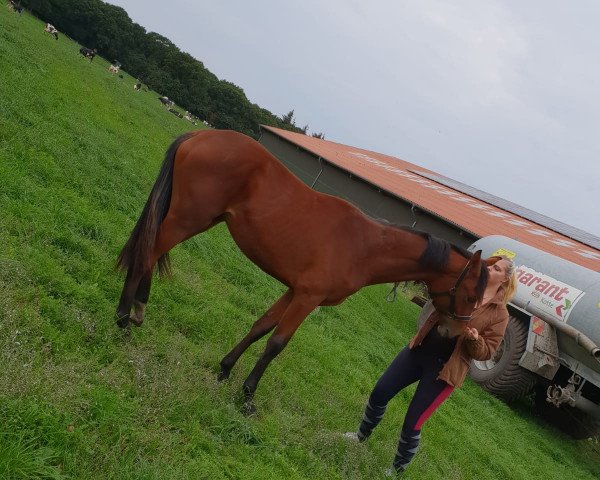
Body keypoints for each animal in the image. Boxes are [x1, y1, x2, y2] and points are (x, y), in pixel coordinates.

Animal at [116, 130, 488, 412]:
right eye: (471, 295)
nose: (455, 334)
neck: (364, 245)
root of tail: (202, 134)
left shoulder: (294, 290)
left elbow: (260, 328)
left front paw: (224, 370)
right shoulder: (308, 297)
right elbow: (277, 343)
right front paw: (247, 395)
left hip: (198, 219)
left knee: (151, 253)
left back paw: (137, 310)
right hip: (187, 219)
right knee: (148, 252)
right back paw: (123, 318)